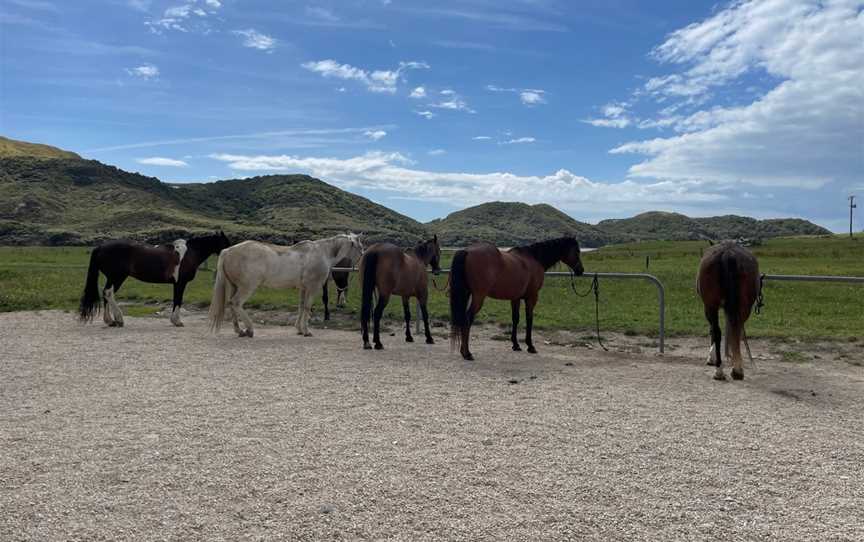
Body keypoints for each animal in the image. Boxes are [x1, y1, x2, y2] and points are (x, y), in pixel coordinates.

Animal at [78, 233, 231, 330]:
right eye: (226, 243)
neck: (189, 253)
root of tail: (100, 247)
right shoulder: (180, 283)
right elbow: (178, 300)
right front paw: (177, 321)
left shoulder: (177, 284)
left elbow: (176, 300)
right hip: (117, 277)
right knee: (108, 293)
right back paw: (119, 319)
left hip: (114, 278)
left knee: (106, 294)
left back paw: (110, 321)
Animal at [210, 235, 364, 340]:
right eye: (361, 248)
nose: (361, 262)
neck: (323, 253)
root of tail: (228, 251)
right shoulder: (312, 287)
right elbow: (307, 307)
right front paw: (306, 331)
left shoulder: (303, 288)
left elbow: (301, 306)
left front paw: (299, 329)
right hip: (246, 287)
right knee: (236, 303)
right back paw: (249, 329)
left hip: (233, 286)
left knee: (230, 304)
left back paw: (240, 331)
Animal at [448, 237, 584, 362]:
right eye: (577, 251)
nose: (581, 271)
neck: (534, 259)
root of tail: (467, 251)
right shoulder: (532, 297)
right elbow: (529, 319)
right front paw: (530, 346)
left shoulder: (515, 298)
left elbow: (515, 318)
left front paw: (516, 345)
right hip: (478, 297)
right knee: (467, 319)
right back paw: (467, 353)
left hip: (467, 293)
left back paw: (463, 351)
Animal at [696, 242, 764, 382]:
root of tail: (728, 253)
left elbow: (715, 330)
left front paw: (712, 358)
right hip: (743, 307)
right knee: (736, 329)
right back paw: (736, 369)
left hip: (712, 305)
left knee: (718, 331)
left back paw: (720, 370)